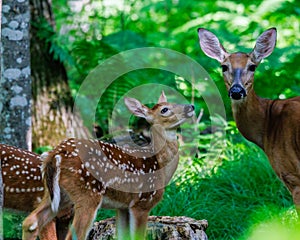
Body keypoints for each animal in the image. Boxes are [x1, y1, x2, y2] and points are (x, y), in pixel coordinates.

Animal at [22, 92, 195, 240]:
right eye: (165, 109)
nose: (191, 107)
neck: (159, 164)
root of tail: (55, 155)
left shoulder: (123, 207)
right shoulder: (143, 202)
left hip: (58, 195)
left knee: (30, 222)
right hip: (88, 194)